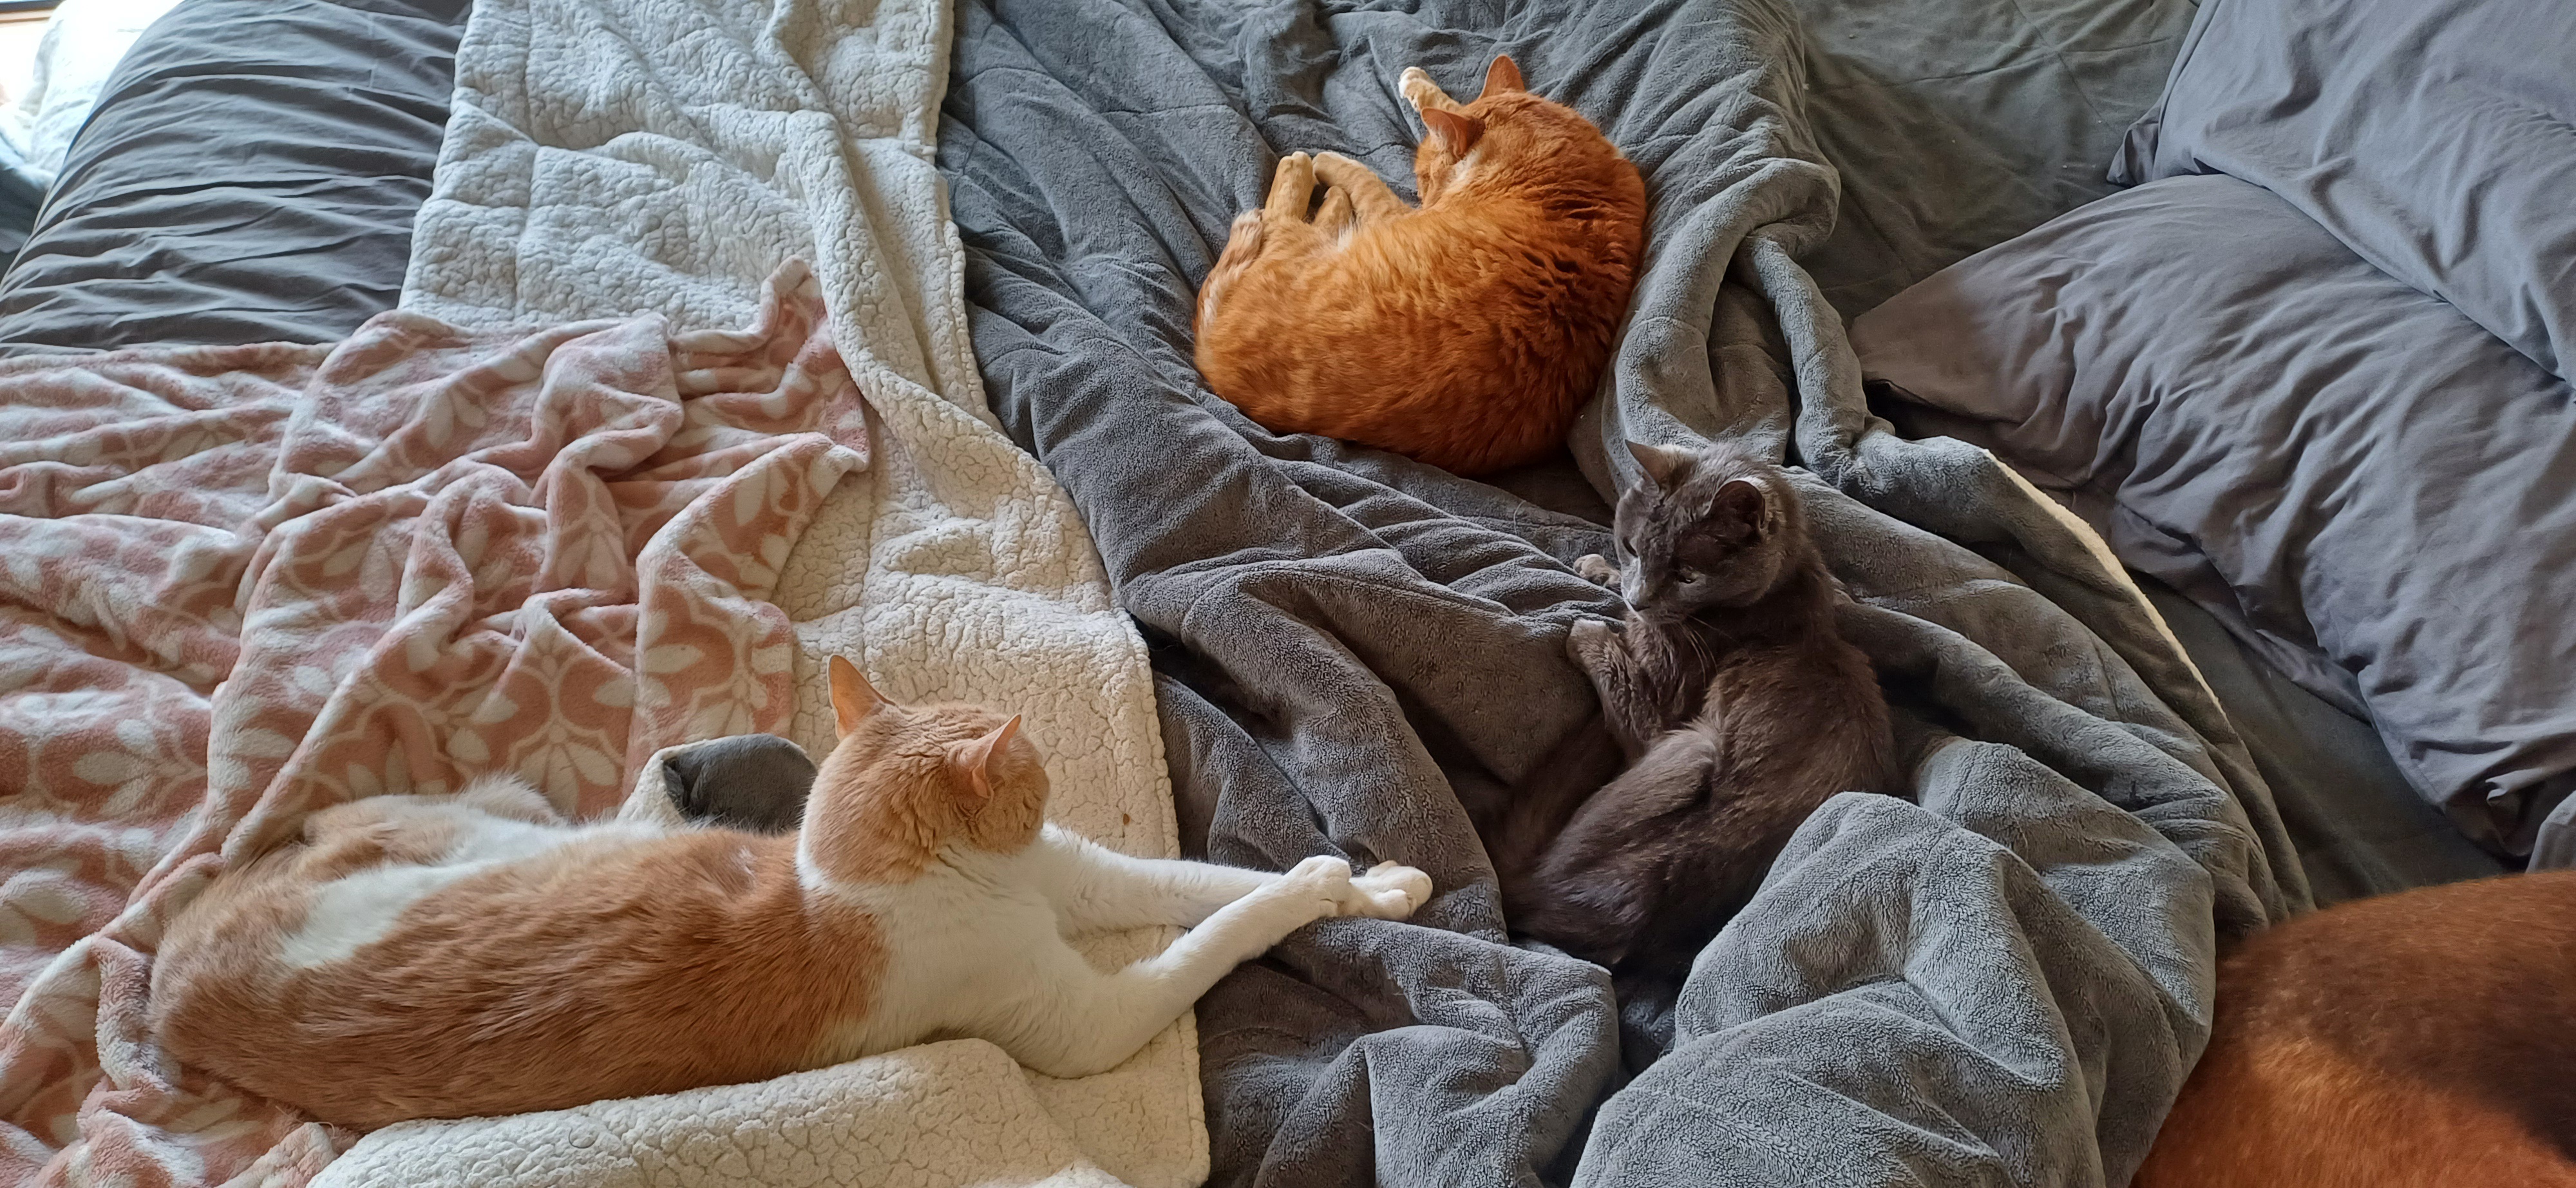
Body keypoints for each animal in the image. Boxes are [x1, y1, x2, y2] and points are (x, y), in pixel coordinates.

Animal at [146, 652, 1432, 1124]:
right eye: (1035, 770)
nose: (1048, 772)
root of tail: (171, 968)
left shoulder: (1082, 870)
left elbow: (1211, 877)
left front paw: (1372, 884)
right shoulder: (1085, 1020)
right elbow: (1217, 929)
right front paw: (1319, 888)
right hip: (487, 824)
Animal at [1190, 54, 1649, 472]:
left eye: (1423, 177)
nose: (1425, 193)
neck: (1563, 177)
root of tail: (1210, 363)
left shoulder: (1393, 213)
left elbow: (1365, 179)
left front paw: (1333, 164)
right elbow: (1449, 101)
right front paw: (1418, 82)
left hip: (1299, 249)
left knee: (1282, 215)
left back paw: (1306, 171)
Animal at [1504, 441, 1906, 984]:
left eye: (1688, 576)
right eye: (1633, 547)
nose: (1639, 599)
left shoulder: (1660, 718)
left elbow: (1624, 678)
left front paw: (1590, 629)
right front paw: (1600, 570)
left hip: (1693, 747)